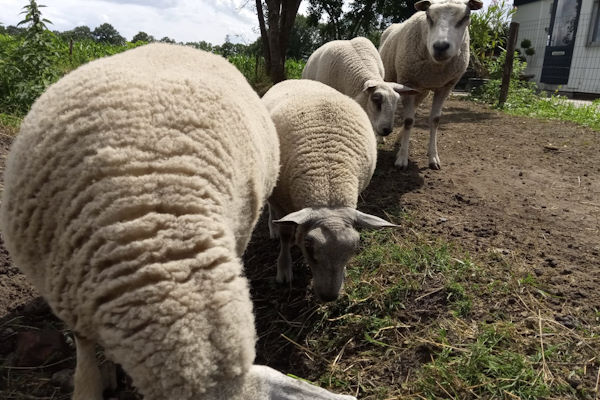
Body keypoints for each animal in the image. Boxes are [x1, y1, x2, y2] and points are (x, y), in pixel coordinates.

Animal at [262, 79, 398, 302]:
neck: (327, 183)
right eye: (308, 246)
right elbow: (285, 234)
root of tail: (299, 79)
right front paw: (283, 269)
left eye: (354, 248)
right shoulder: (280, 199)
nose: (329, 297)